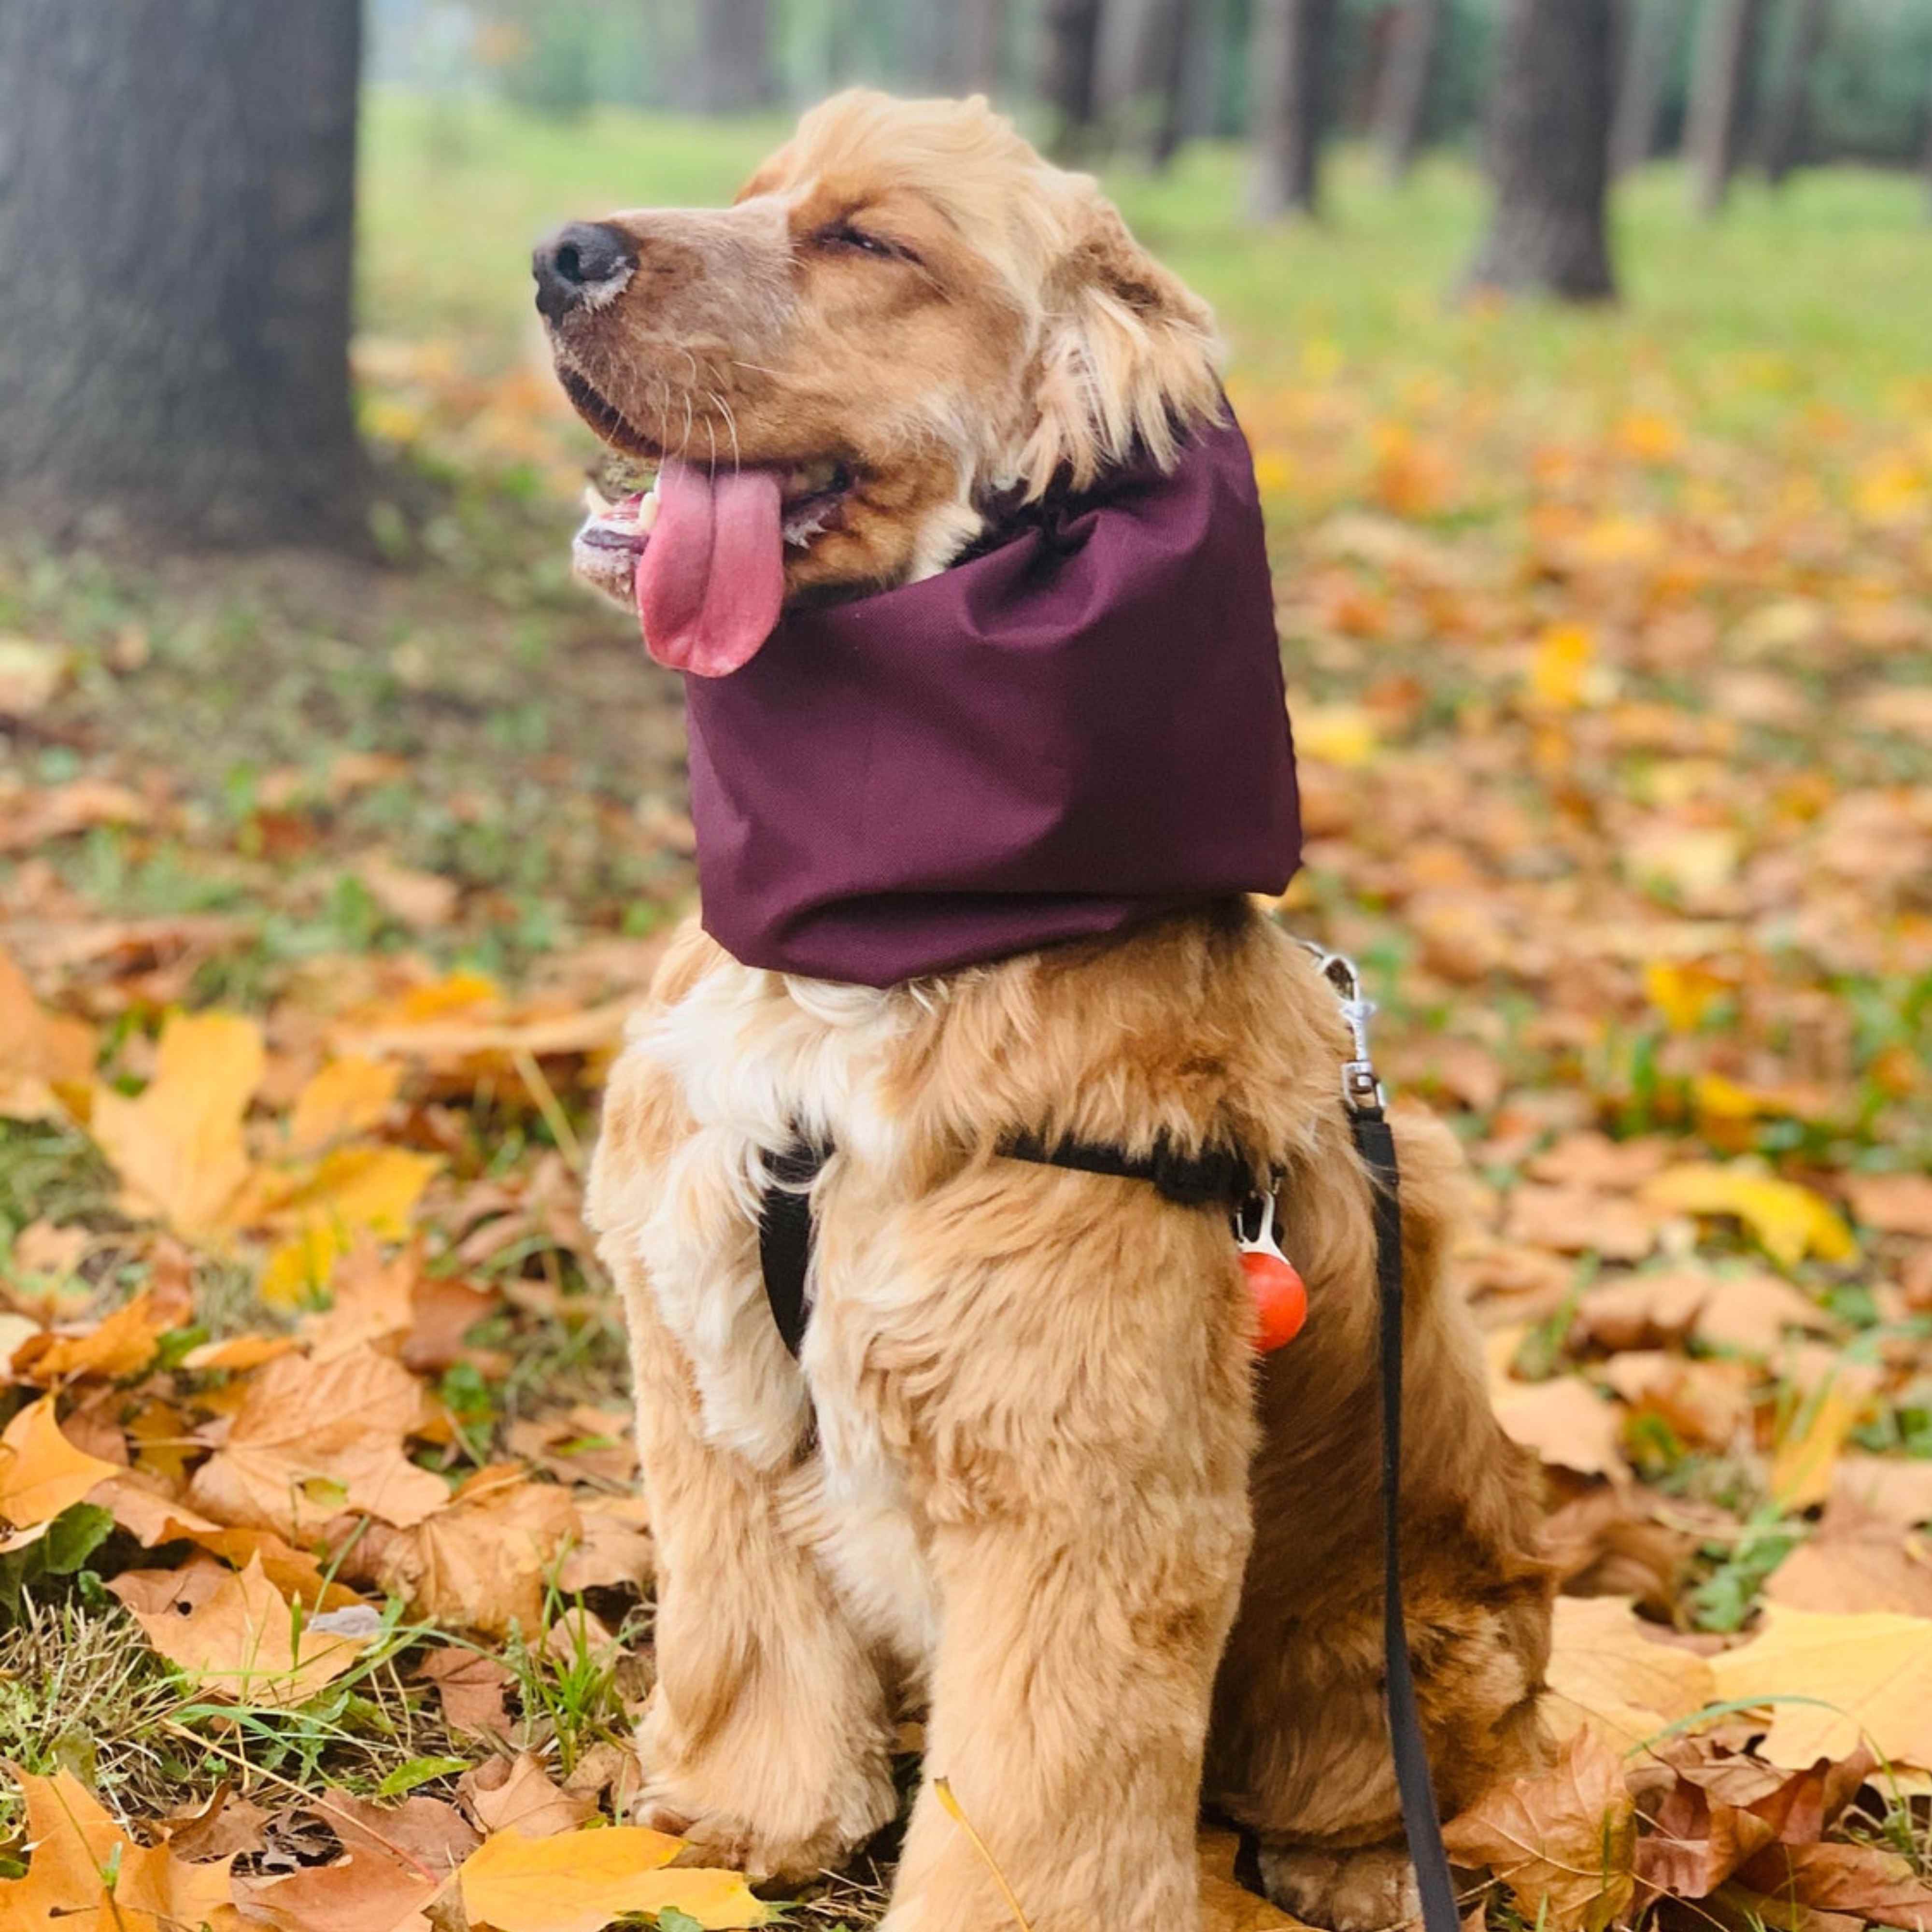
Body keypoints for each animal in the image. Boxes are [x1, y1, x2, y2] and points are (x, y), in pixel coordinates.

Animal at [541, 98, 1553, 1932]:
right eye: (751, 195)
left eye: (871, 241)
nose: (559, 253)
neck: (873, 958)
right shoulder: (699, 1348)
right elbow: (745, 1627)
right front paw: (744, 1820)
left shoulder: (1081, 1507)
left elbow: (1036, 1816)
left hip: (1402, 1643)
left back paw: (1365, 1874)